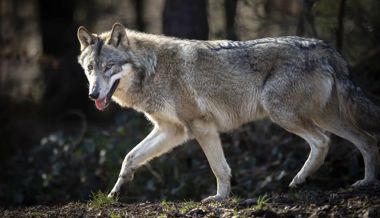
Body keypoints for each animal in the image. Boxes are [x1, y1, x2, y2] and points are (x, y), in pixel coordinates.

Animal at [77, 23, 380, 202]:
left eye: (108, 68)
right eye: (91, 68)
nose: (93, 95)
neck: (152, 70)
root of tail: (326, 48)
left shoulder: (201, 127)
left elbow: (219, 168)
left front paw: (220, 199)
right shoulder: (172, 131)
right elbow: (130, 157)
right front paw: (116, 192)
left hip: (282, 114)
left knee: (323, 141)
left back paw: (299, 180)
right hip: (325, 116)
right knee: (366, 141)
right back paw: (366, 182)